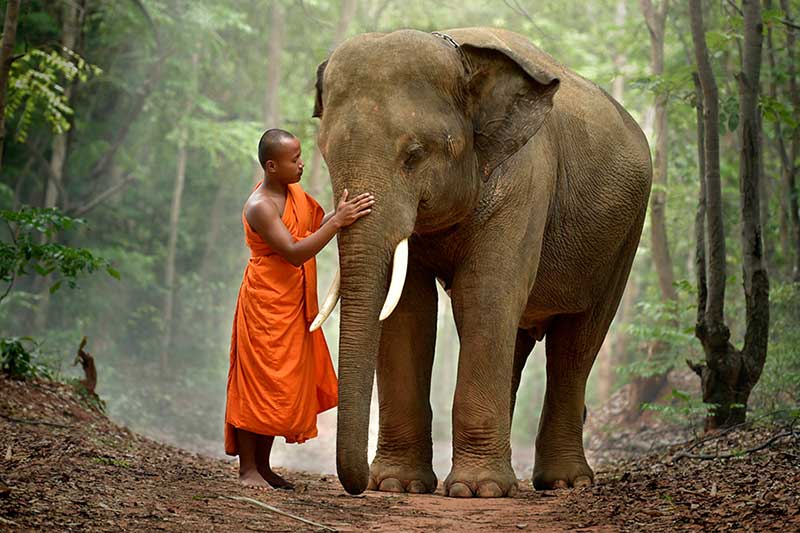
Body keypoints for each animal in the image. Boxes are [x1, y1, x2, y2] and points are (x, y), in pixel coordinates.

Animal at [309, 27, 651, 498]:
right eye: (325, 153)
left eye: (414, 154)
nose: (359, 485)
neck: (461, 55)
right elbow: (410, 309)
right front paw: (399, 484)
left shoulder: (526, 179)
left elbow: (485, 294)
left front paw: (477, 490)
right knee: (519, 340)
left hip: (625, 236)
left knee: (577, 342)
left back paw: (563, 482)